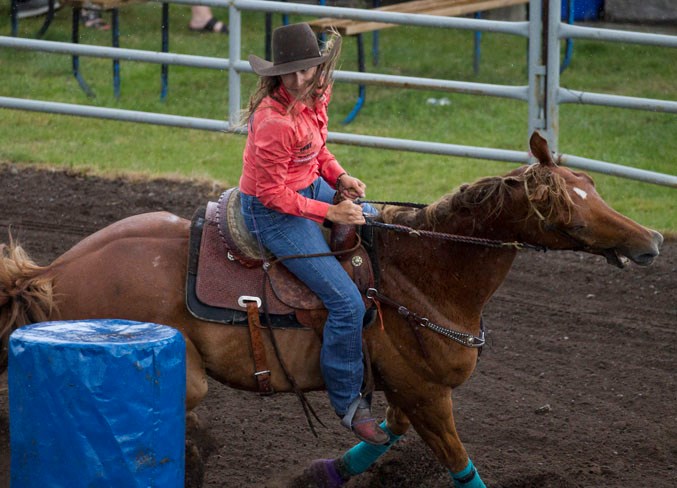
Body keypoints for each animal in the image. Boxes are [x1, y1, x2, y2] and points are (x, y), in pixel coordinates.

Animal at [0, 133, 660, 488]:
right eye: (570, 205)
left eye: (596, 187)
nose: (651, 239)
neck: (421, 271)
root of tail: (50, 273)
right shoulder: (427, 393)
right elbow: (458, 464)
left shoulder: (403, 388)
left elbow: (383, 435)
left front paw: (319, 473)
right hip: (183, 377)